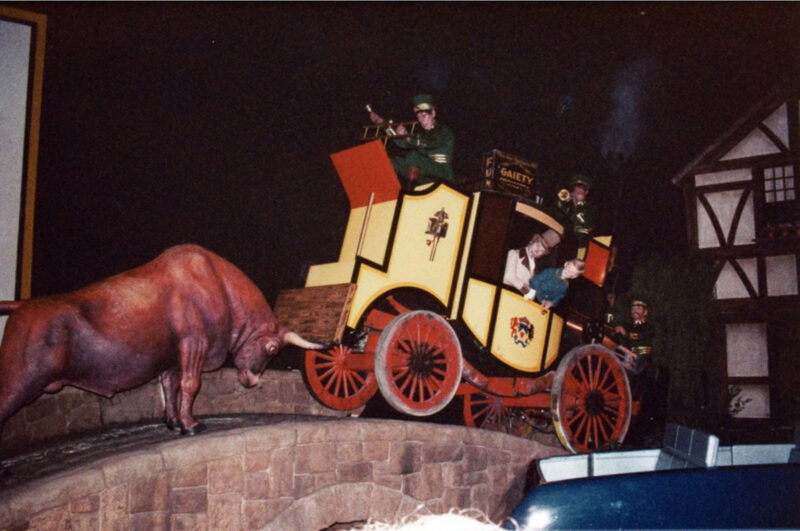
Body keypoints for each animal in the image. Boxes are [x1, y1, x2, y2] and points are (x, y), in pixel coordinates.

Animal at [0, 245, 324, 466]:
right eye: (272, 348)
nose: (254, 381)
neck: (219, 283)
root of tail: (24, 305)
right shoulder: (194, 343)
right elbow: (190, 385)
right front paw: (191, 425)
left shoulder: (172, 357)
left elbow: (170, 386)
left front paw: (173, 421)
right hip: (18, 380)